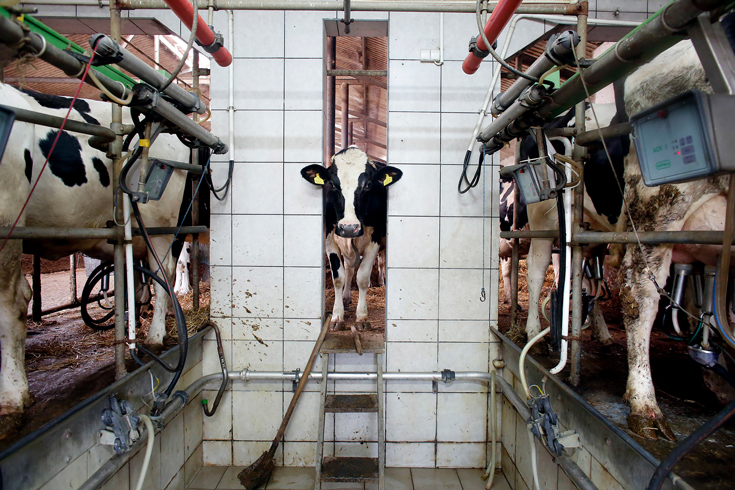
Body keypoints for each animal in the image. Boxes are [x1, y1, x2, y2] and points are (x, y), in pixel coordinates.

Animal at [0, 83, 193, 436]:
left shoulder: (7, 216)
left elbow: (12, 301)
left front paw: (13, 395)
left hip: (162, 224)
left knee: (165, 273)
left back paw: (155, 335)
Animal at [302, 145, 402, 330]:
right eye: (332, 184)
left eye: (368, 185)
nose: (349, 227)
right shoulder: (330, 236)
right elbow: (338, 277)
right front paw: (336, 316)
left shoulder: (375, 238)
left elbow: (362, 276)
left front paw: (362, 317)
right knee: (349, 268)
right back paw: (346, 297)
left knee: (379, 263)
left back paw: (380, 282)